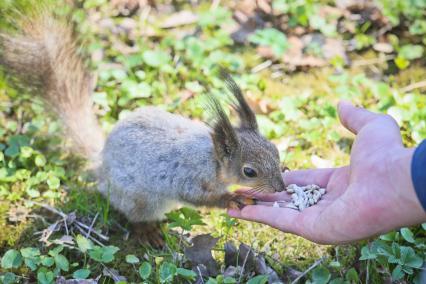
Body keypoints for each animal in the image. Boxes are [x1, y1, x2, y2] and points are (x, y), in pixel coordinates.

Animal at [0, 6, 286, 246]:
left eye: (275, 150)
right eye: (249, 171)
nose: (280, 188)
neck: (212, 159)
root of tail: (101, 164)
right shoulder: (188, 178)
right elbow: (198, 197)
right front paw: (231, 198)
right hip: (139, 199)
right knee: (135, 217)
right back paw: (148, 233)